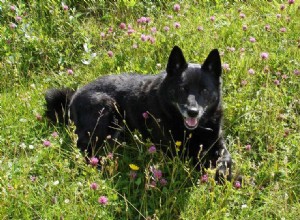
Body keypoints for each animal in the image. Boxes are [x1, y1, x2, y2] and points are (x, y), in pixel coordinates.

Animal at [45, 46, 232, 180]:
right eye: (182, 89)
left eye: (204, 90)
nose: (193, 112)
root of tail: (73, 97)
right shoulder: (177, 151)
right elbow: (201, 161)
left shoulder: (217, 141)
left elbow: (226, 157)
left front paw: (226, 173)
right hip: (105, 106)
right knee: (84, 147)